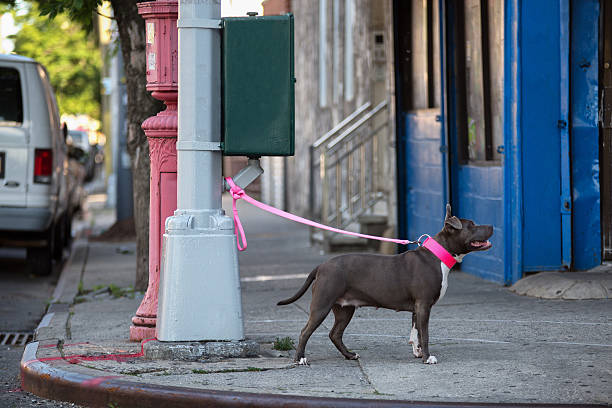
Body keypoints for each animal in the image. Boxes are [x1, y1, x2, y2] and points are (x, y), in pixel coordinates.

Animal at [278, 206, 492, 364]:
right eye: (472, 225)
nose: (491, 225)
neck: (438, 256)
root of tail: (322, 266)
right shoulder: (424, 305)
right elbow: (425, 334)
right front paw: (427, 357)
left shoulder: (417, 308)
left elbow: (415, 332)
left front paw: (417, 353)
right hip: (322, 305)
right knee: (305, 331)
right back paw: (300, 359)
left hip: (345, 309)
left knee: (335, 334)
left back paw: (350, 355)